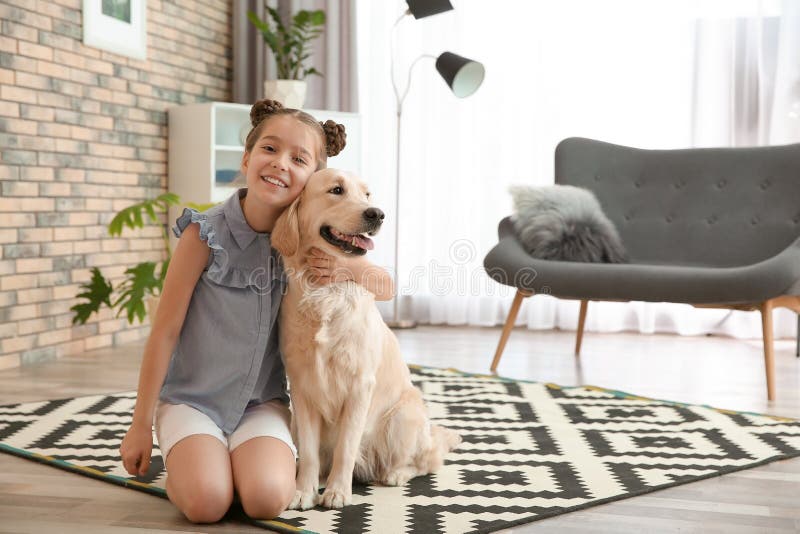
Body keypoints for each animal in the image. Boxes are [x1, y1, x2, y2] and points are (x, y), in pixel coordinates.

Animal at [274, 171, 462, 510]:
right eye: (336, 190)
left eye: (367, 195)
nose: (377, 214)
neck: (325, 291)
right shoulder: (302, 388)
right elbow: (308, 452)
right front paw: (302, 491)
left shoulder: (360, 386)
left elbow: (346, 447)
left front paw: (337, 492)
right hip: (294, 421)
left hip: (402, 418)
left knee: (428, 460)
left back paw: (395, 474)